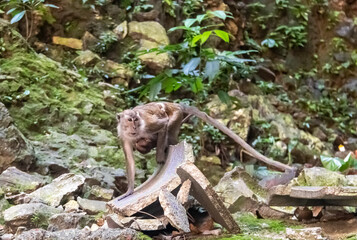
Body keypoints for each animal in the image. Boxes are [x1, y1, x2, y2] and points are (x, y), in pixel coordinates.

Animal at [117, 101, 292, 199]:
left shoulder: (148, 125)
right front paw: (129, 190)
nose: (134, 126)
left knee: (170, 133)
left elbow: (162, 126)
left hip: (176, 116)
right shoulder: (124, 137)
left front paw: (160, 157)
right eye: (130, 120)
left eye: (136, 120)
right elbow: (130, 160)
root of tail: (176, 104)